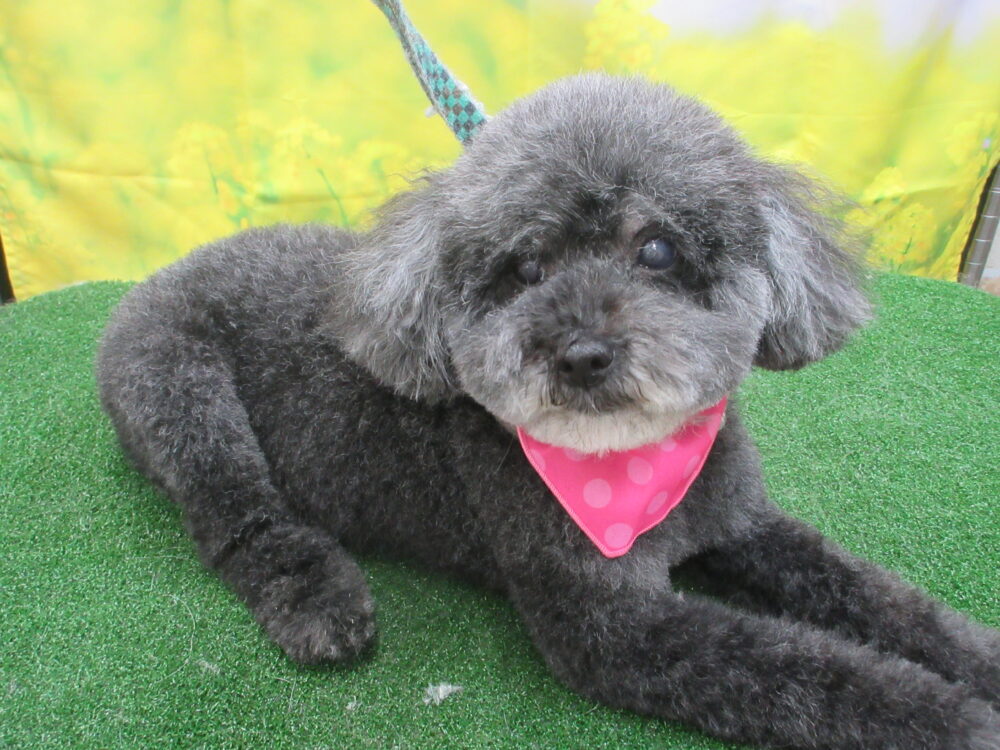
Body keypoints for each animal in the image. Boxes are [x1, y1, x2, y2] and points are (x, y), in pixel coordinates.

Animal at [97, 74, 1000, 749]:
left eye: (657, 248)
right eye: (525, 266)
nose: (582, 354)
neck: (632, 469)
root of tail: (160, 276)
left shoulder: (738, 521)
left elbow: (877, 597)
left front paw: (979, 661)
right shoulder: (608, 627)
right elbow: (807, 671)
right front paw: (955, 719)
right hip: (181, 390)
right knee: (237, 517)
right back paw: (320, 602)